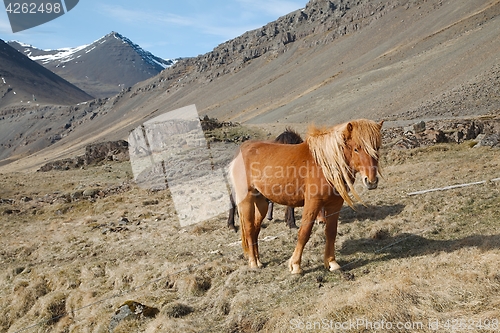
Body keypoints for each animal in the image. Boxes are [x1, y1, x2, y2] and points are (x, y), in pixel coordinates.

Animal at [228, 118, 382, 274]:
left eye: (377, 147)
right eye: (356, 148)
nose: (371, 181)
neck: (324, 165)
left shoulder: (335, 204)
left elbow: (331, 232)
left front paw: (332, 263)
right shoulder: (313, 203)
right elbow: (304, 233)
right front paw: (295, 265)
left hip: (262, 203)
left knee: (255, 229)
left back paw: (258, 260)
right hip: (247, 201)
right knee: (248, 229)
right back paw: (253, 262)